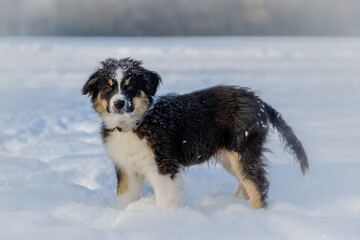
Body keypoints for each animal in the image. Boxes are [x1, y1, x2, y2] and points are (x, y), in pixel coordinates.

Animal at [83, 57, 308, 209]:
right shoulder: (126, 167)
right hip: (228, 155)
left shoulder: (163, 164)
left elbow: (165, 198)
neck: (135, 124)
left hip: (243, 148)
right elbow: (124, 197)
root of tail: (259, 102)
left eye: (130, 88)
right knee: (246, 182)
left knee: (258, 183)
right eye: (108, 89)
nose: (119, 104)